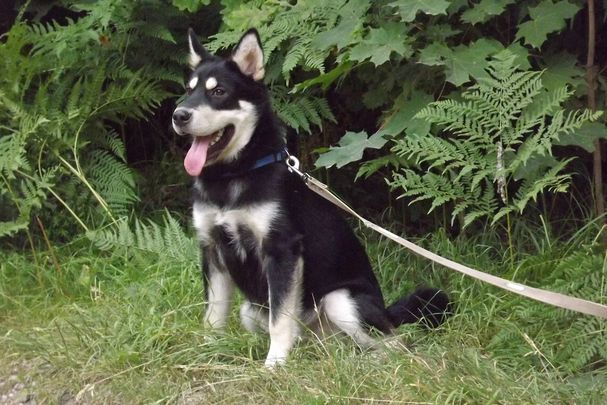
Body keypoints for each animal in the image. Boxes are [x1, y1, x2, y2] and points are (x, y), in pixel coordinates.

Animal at [172, 28, 450, 368]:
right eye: (189, 91)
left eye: (219, 92)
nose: (179, 115)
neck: (236, 174)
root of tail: (386, 313)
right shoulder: (212, 249)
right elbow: (213, 315)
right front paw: (209, 350)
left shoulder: (282, 250)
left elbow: (280, 320)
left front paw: (275, 364)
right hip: (253, 311)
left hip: (341, 301)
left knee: (397, 344)